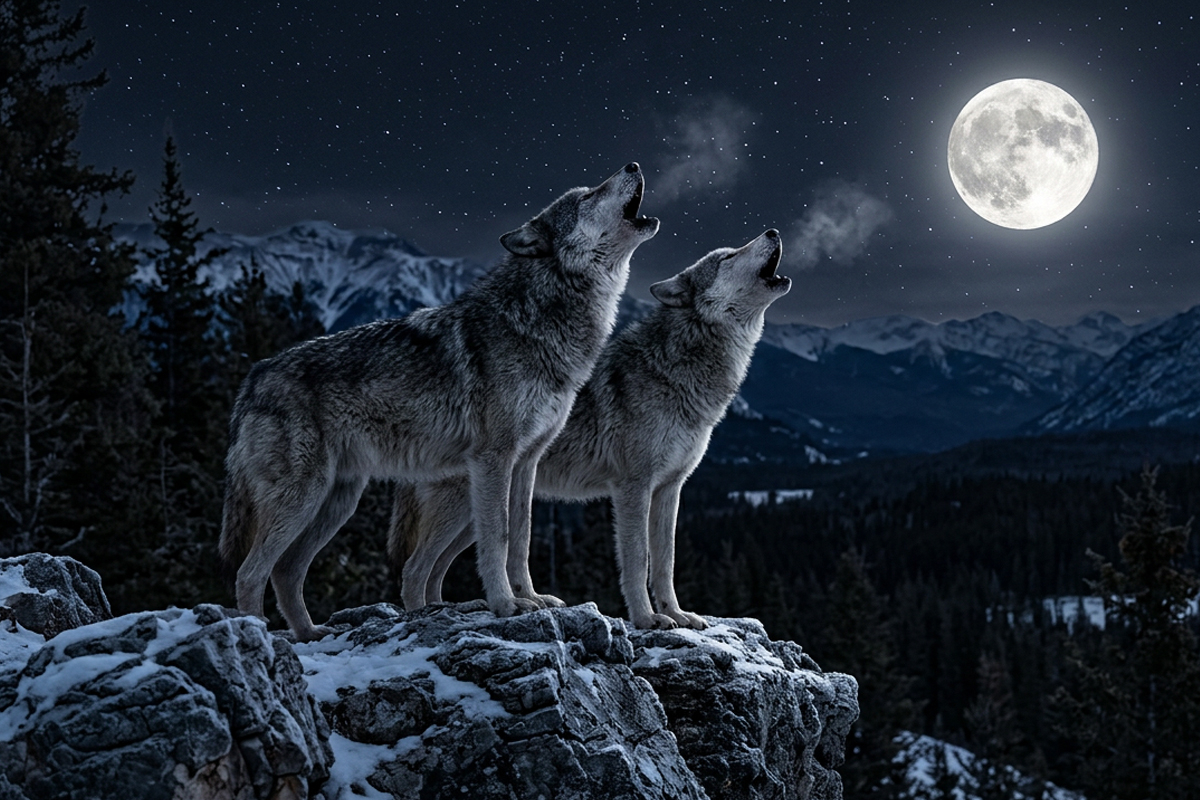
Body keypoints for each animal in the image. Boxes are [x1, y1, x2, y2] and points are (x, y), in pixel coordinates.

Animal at [220, 163, 659, 641]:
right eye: (587, 196)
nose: (634, 165)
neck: (539, 319)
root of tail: (254, 376)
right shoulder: (494, 458)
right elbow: (498, 537)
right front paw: (506, 604)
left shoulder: (526, 461)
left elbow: (521, 537)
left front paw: (531, 598)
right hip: (305, 497)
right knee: (249, 572)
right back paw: (257, 632)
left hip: (336, 502)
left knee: (285, 571)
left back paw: (310, 633)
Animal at [390, 229, 790, 629]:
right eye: (727, 257)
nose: (773, 231)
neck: (676, 371)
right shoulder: (633, 487)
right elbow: (638, 560)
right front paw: (647, 618)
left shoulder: (670, 489)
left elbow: (666, 562)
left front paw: (676, 613)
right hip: (464, 510)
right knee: (413, 569)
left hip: (473, 518)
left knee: (435, 568)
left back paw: (449, 609)